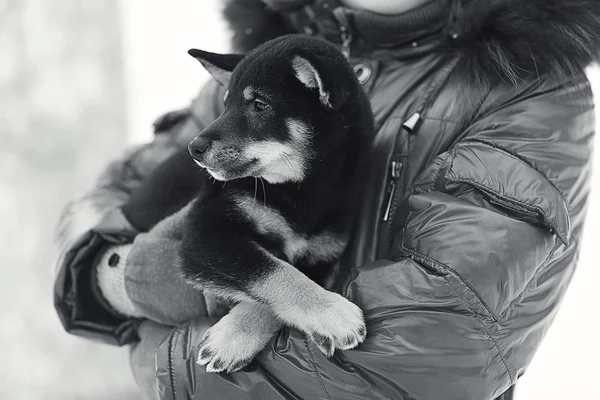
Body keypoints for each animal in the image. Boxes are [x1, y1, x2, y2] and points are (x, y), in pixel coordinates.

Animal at [130, 33, 376, 372]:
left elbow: (280, 275)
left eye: (260, 105)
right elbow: (272, 271)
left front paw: (237, 334)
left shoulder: (321, 256)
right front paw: (332, 314)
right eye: (225, 105)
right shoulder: (207, 232)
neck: (300, 191)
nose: (195, 147)